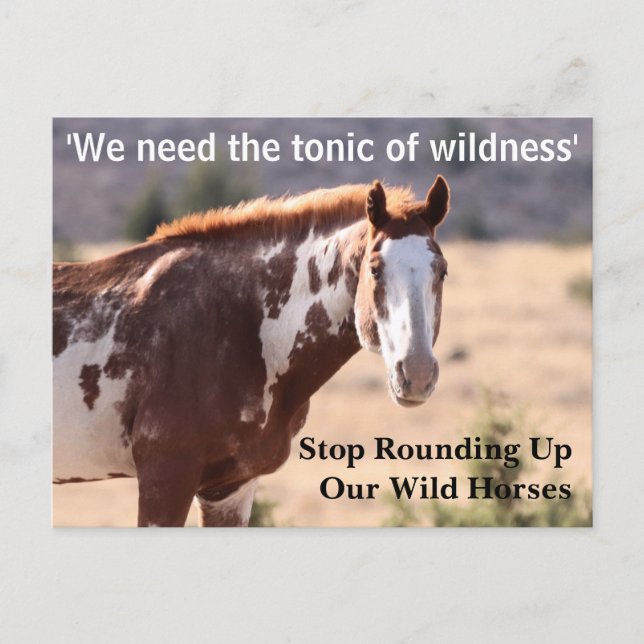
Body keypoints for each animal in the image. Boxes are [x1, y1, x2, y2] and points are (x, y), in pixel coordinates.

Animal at [53, 176, 451, 527]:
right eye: (375, 269)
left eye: (442, 271)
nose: (416, 374)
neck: (241, 326)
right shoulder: (165, 477)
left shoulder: (229, 489)